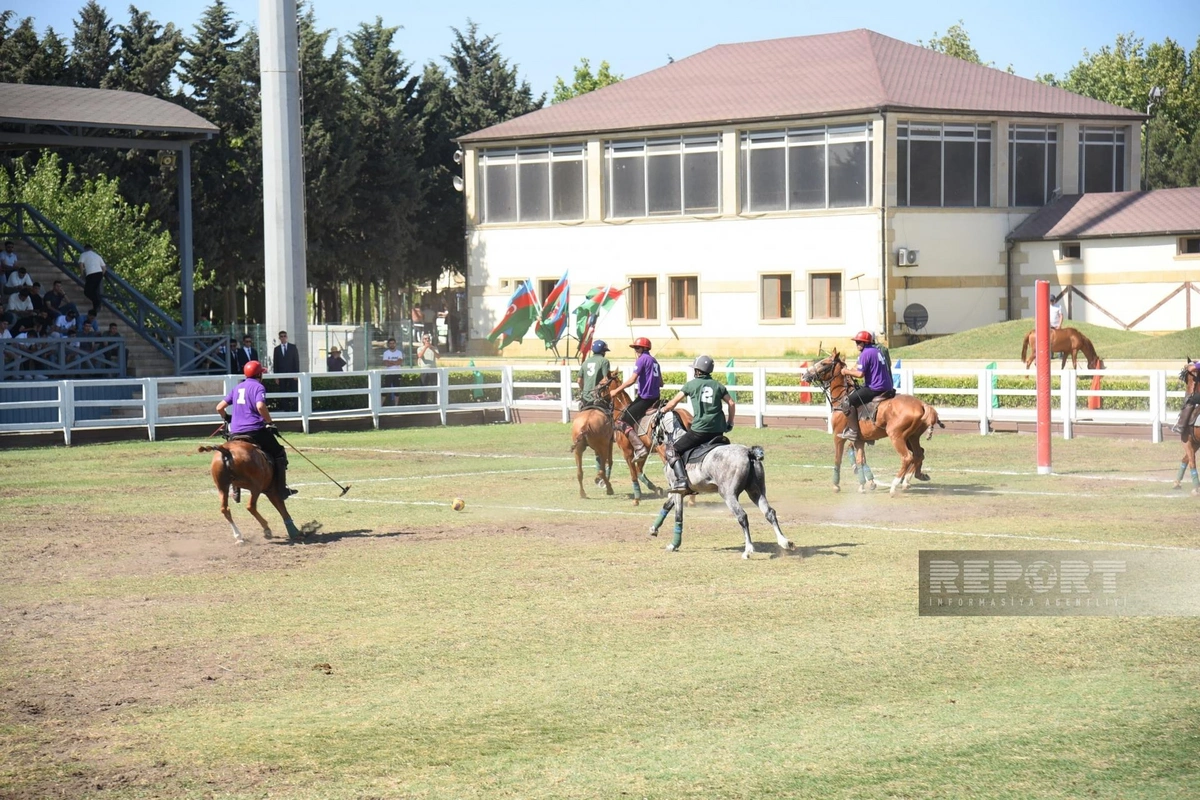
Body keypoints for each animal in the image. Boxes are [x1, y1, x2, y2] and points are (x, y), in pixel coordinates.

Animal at [643, 412, 792, 556]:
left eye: (653, 423)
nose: (653, 439)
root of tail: (749, 452)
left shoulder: (678, 490)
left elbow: (678, 516)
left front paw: (674, 545)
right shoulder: (681, 490)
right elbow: (666, 506)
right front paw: (653, 529)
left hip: (728, 494)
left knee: (742, 516)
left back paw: (748, 550)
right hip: (756, 491)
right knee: (769, 512)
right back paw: (784, 542)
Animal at [801, 350, 940, 494]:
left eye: (824, 363)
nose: (804, 375)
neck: (842, 398)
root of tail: (922, 404)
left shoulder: (838, 436)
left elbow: (838, 459)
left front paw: (836, 485)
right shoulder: (859, 439)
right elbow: (860, 460)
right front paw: (864, 484)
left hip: (896, 436)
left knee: (907, 457)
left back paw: (895, 484)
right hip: (911, 437)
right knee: (919, 454)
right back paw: (910, 478)